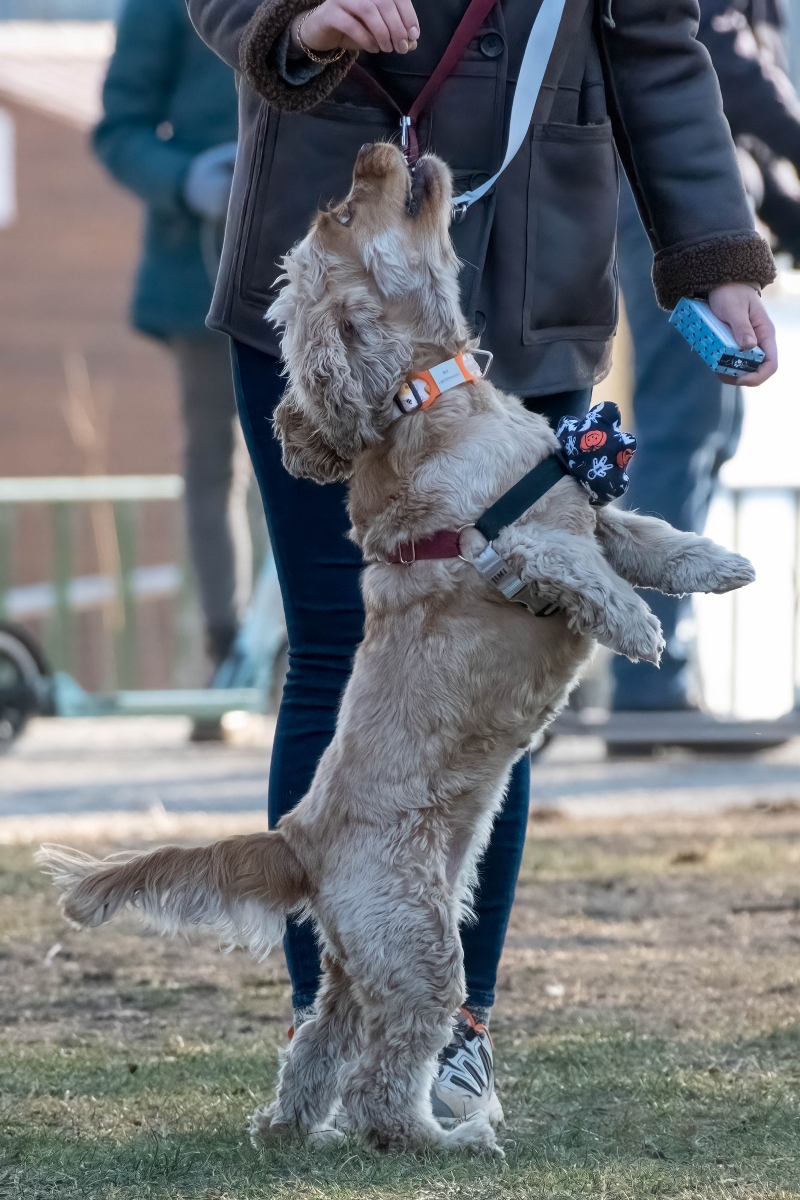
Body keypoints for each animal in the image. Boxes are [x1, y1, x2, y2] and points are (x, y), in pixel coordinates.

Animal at [38, 140, 758, 1152]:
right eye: (344, 214)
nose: (381, 148)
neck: (432, 394)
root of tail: (296, 836)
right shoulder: (520, 549)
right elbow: (588, 573)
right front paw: (639, 628)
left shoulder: (586, 510)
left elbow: (647, 538)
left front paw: (720, 564)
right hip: (419, 945)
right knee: (384, 1082)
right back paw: (440, 1138)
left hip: (359, 962)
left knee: (320, 1045)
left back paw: (297, 1129)